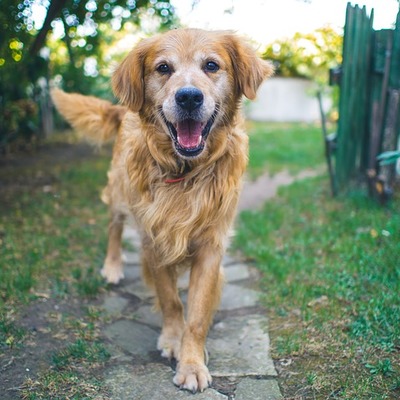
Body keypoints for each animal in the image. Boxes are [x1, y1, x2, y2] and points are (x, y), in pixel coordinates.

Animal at [51, 28, 274, 394]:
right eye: (163, 68)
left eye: (211, 65)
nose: (189, 98)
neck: (185, 172)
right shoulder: (153, 240)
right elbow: (171, 300)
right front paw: (173, 339)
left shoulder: (211, 247)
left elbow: (196, 313)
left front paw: (192, 361)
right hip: (119, 194)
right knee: (113, 227)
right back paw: (112, 266)